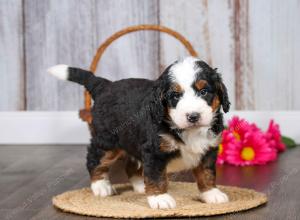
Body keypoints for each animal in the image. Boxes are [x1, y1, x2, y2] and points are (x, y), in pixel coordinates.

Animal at [48, 57, 232, 210]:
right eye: (175, 95)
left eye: (204, 91)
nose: (193, 116)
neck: (189, 131)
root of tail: (106, 85)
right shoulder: (154, 150)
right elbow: (156, 176)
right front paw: (160, 198)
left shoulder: (209, 149)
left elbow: (207, 173)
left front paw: (211, 193)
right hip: (108, 141)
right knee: (94, 160)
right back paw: (101, 186)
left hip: (131, 140)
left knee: (131, 166)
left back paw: (141, 186)